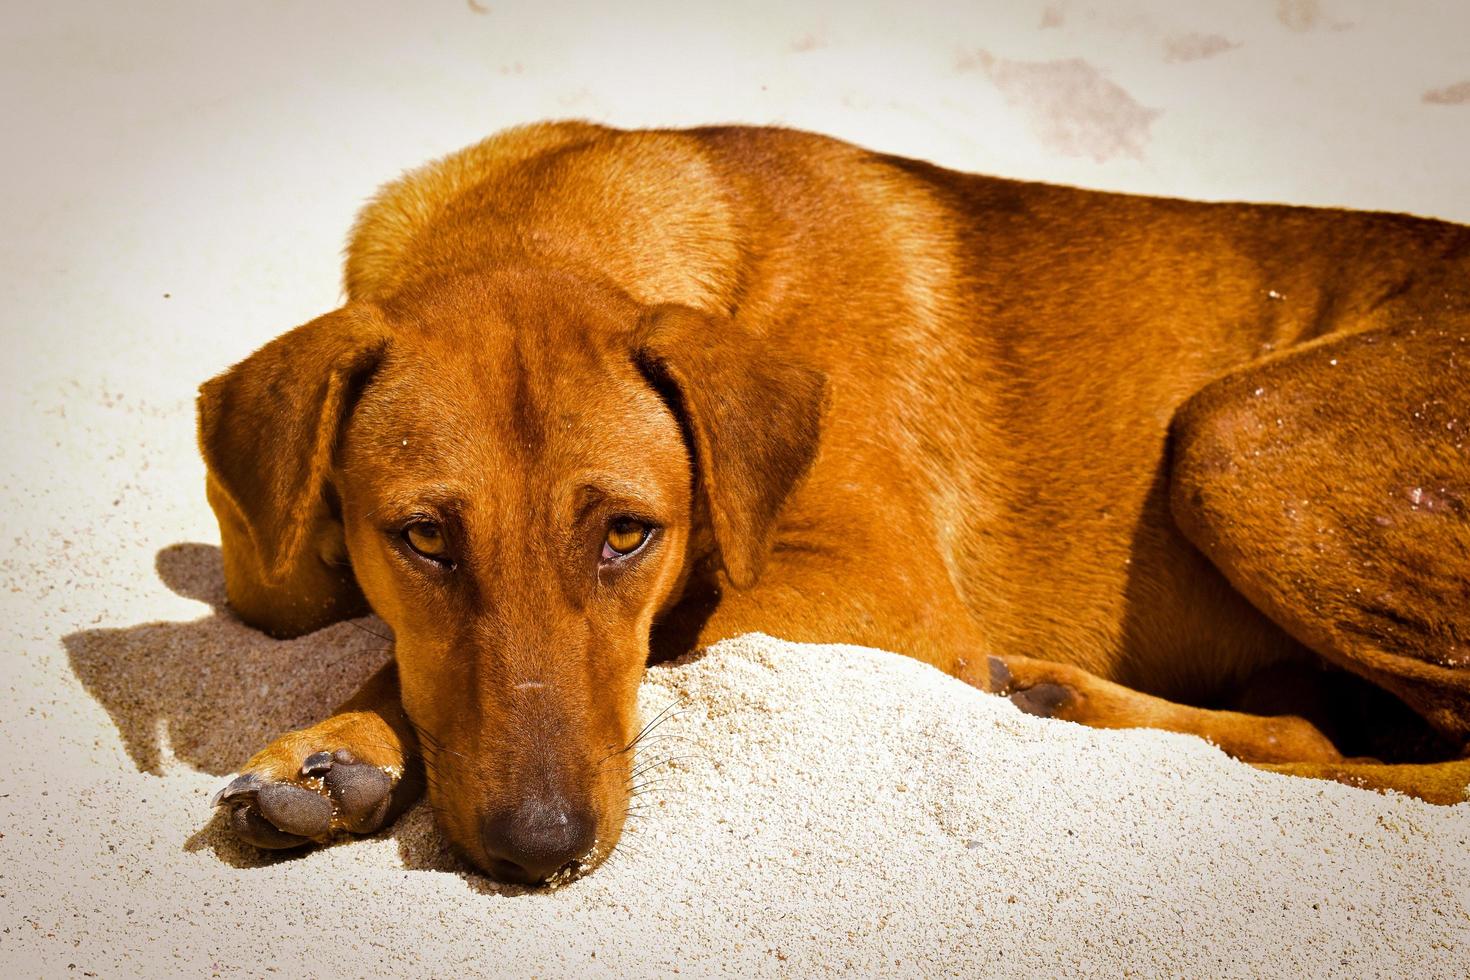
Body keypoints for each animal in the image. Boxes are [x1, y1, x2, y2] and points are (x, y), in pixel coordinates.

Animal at [198, 119, 1470, 887]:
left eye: (628, 533)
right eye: (421, 537)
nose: (541, 847)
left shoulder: (884, 592)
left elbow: (684, 636)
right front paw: (336, 741)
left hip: (1233, 443)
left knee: (1371, 748)